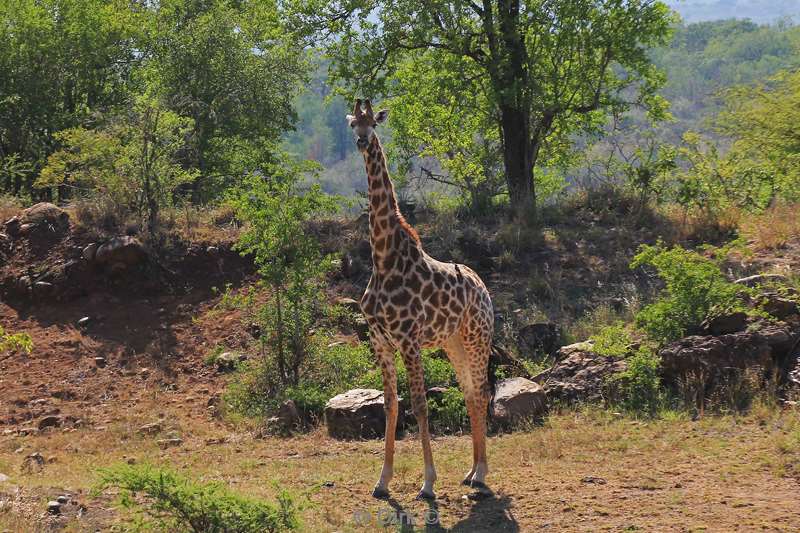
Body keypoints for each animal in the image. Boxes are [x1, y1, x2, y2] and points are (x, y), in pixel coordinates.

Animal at [348, 98, 496, 498]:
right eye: (353, 124)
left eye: (374, 123)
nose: (362, 141)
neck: (382, 258)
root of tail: (484, 288)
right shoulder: (380, 340)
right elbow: (390, 406)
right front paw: (382, 481)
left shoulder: (409, 340)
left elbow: (419, 405)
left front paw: (428, 483)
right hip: (453, 342)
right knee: (470, 393)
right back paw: (470, 471)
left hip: (478, 337)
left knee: (481, 392)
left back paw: (481, 474)